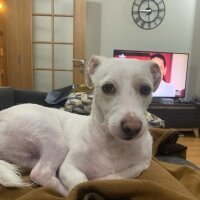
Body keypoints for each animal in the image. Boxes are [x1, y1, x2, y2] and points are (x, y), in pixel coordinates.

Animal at [0, 55, 160, 196]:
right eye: (108, 87)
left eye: (146, 89)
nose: (132, 127)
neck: (113, 145)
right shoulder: (68, 167)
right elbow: (81, 183)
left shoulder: (141, 166)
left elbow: (114, 177)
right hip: (53, 137)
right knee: (41, 173)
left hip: (28, 157)